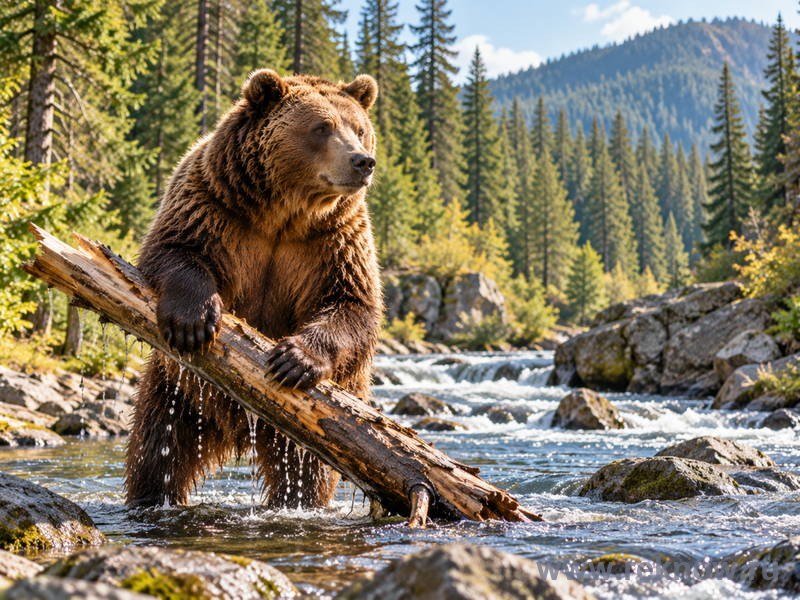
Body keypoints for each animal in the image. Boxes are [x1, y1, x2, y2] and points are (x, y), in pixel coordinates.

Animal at [124, 69, 383, 509]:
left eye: (360, 129)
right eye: (322, 127)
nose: (362, 161)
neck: (282, 215)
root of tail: (238, 431)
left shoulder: (335, 241)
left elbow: (352, 301)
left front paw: (295, 359)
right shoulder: (211, 204)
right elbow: (173, 248)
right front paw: (195, 320)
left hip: (309, 435)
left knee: (305, 475)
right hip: (181, 395)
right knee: (158, 451)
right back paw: (151, 496)